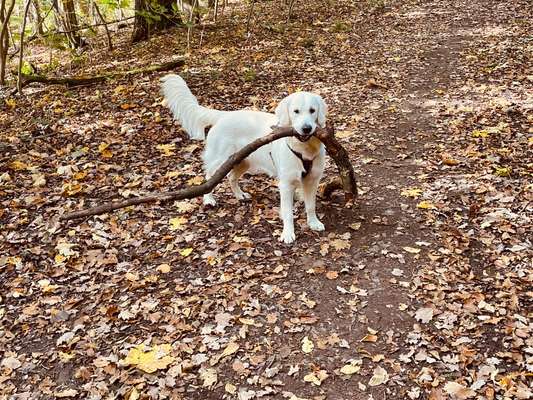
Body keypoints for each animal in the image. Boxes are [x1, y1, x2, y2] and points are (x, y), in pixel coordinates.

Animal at [160, 74, 326, 244]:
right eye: (296, 111)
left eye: (312, 111)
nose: (306, 128)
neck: (303, 148)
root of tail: (225, 115)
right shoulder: (286, 184)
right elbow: (287, 212)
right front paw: (287, 233)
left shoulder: (313, 180)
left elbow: (310, 205)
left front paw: (313, 223)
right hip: (220, 160)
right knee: (208, 178)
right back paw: (209, 199)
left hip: (242, 160)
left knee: (231, 177)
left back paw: (240, 195)